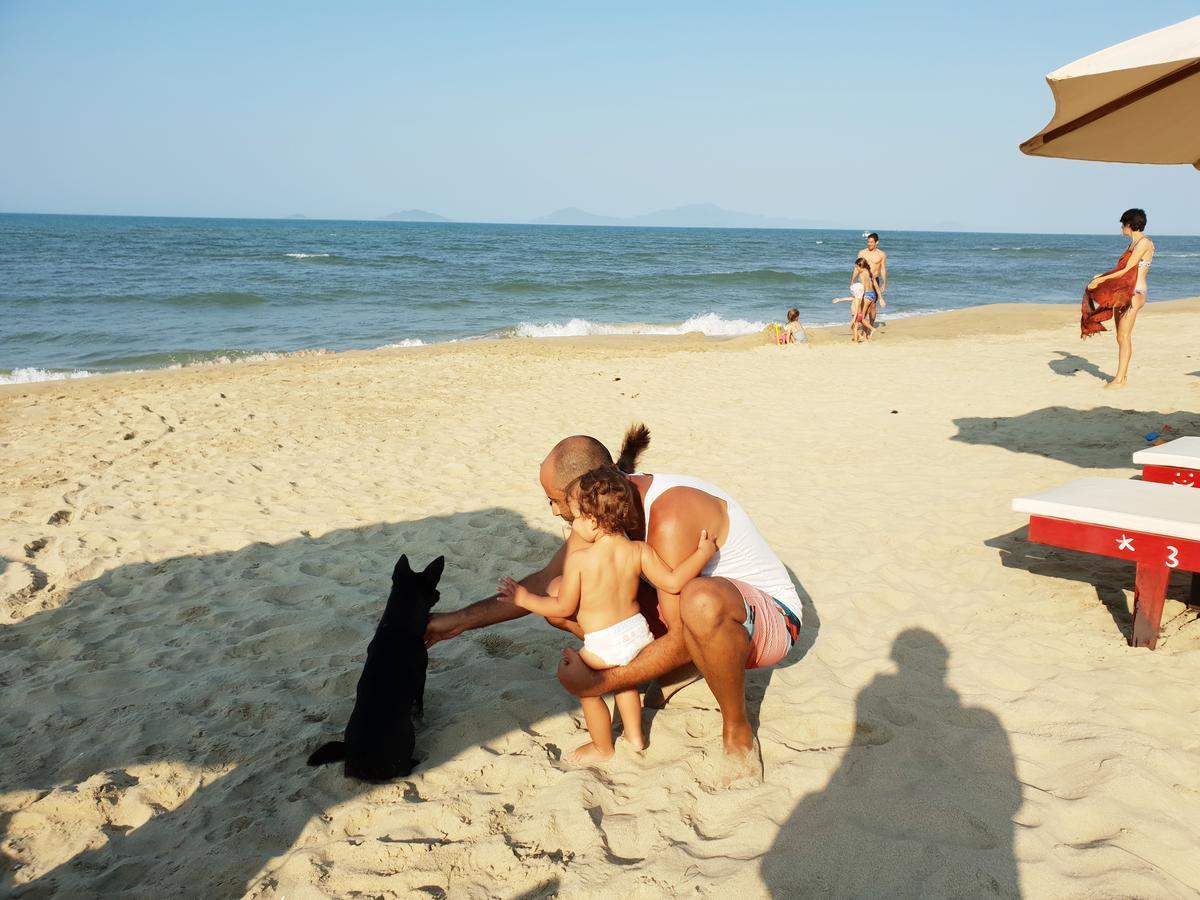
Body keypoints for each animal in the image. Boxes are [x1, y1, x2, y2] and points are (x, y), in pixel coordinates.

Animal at [307, 554, 444, 777]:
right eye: (433, 588)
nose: (440, 593)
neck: (398, 625)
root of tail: (357, 763)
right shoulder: (421, 678)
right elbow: (419, 704)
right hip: (406, 739)